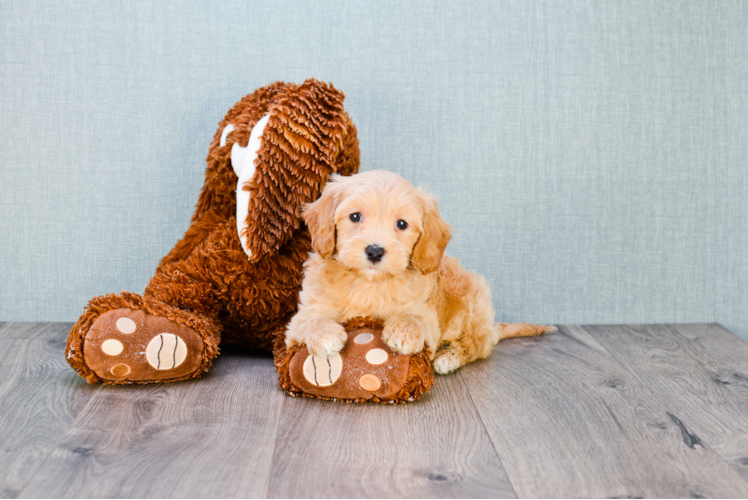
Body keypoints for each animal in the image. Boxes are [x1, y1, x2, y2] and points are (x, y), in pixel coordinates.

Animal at [284, 170, 548, 374]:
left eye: (401, 224)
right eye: (355, 216)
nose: (375, 251)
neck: (370, 283)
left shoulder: (427, 315)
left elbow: (416, 319)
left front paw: (404, 331)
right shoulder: (301, 316)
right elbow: (310, 319)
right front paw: (326, 334)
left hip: (471, 302)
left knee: (473, 346)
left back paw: (448, 358)